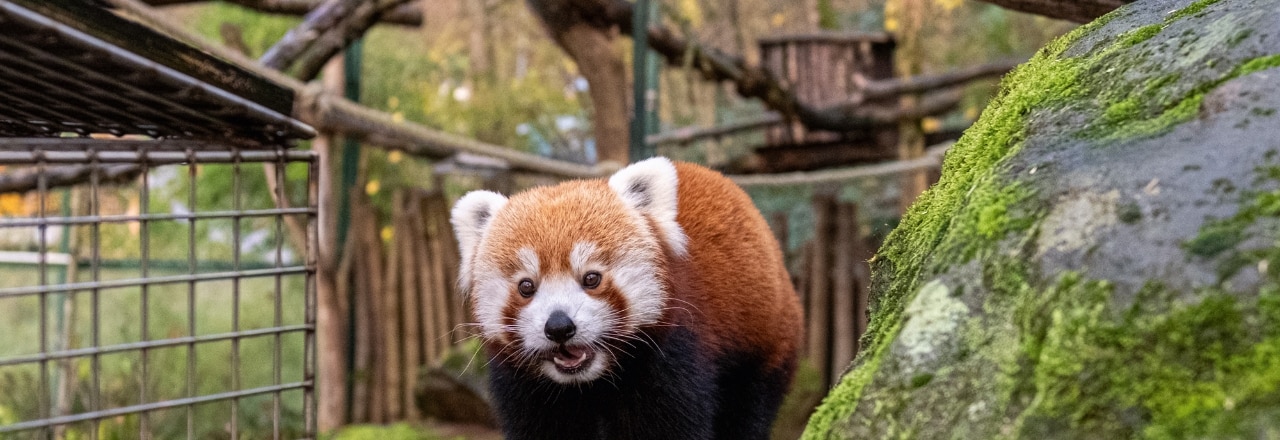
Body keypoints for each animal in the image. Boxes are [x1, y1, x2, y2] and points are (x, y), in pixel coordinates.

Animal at [453, 156, 798, 437]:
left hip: (764, 344)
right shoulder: (527, 389)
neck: (590, 382)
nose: (559, 327)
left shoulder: (671, 356)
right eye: (526, 286)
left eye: (591, 278)